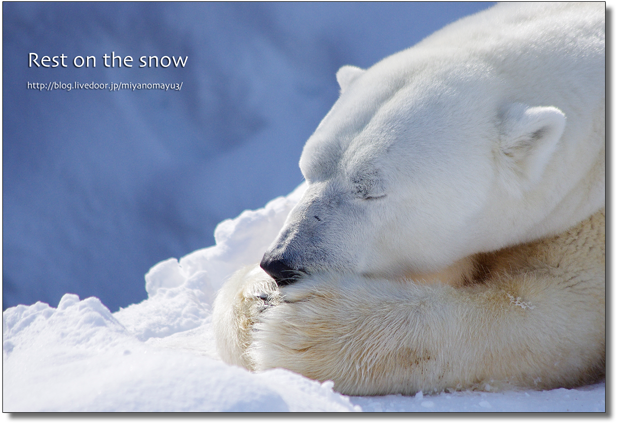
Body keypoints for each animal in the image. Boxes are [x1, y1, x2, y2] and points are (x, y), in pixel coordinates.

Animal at [213, 1, 604, 396]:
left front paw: (301, 329)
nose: (280, 263)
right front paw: (256, 298)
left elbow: (554, 310)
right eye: (307, 170)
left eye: (372, 190)